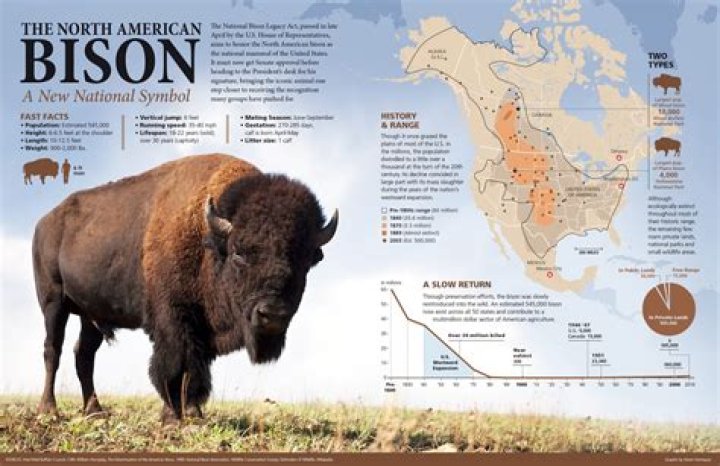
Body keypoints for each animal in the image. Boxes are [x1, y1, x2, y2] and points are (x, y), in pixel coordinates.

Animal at [33, 154, 338, 423]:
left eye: (303, 260)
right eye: (238, 252)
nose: (272, 314)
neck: (209, 241)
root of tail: (44, 222)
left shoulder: (203, 328)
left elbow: (197, 367)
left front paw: (193, 412)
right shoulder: (173, 318)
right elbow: (175, 364)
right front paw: (172, 416)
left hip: (91, 315)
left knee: (83, 354)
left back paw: (95, 410)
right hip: (53, 303)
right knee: (52, 350)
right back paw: (49, 410)